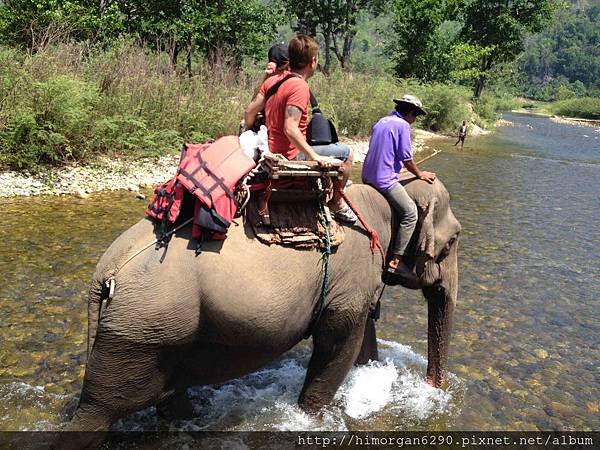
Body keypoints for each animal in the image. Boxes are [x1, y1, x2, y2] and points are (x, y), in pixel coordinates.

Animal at [64, 173, 460, 432]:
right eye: (455, 239)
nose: (435, 389)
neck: (382, 201)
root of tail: (106, 270)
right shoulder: (352, 279)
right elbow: (337, 347)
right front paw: (311, 419)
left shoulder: (357, 284)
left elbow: (362, 337)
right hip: (139, 332)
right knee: (97, 412)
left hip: (159, 334)